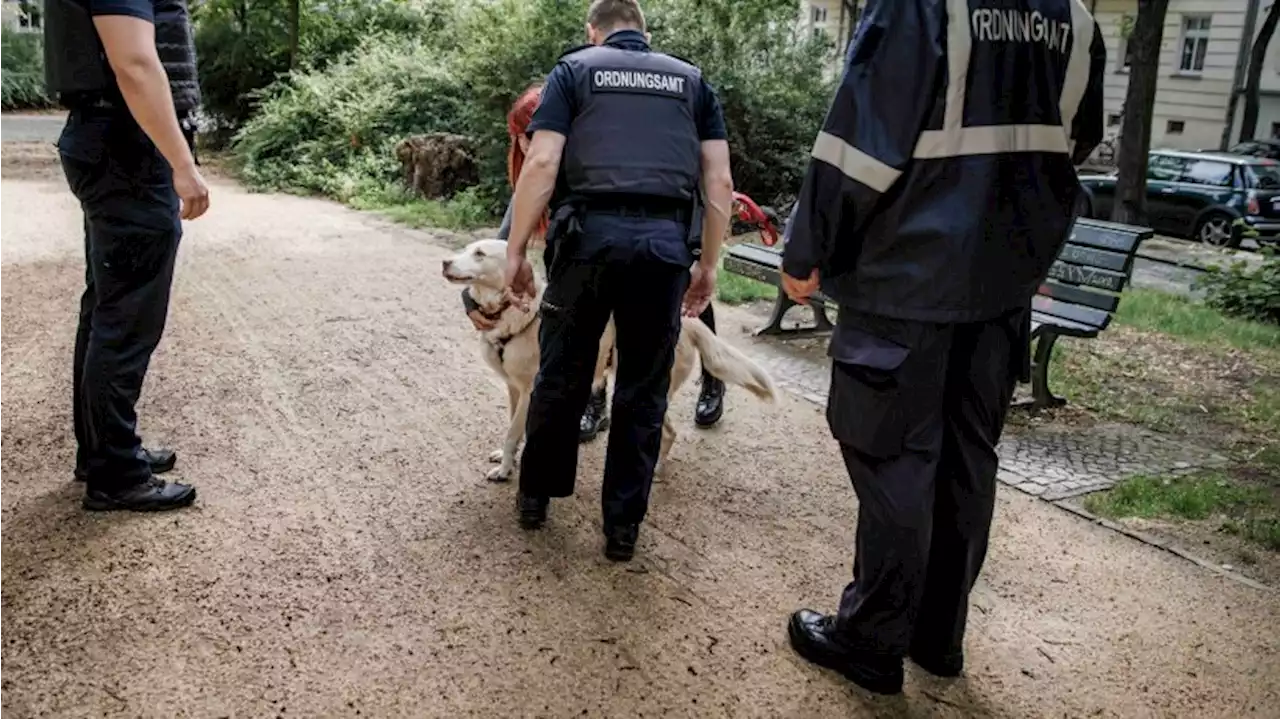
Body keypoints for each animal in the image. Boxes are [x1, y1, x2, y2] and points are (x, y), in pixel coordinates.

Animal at [445, 237, 773, 478]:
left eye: (479, 253)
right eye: (466, 249)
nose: (445, 262)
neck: (512, 313)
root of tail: (689, 320)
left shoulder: (530, 390)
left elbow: (513, 432)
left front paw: (504, 472)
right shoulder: (514, 389)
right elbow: (514, 427)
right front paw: (508, 460)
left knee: (668, 433)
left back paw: (654, 471)